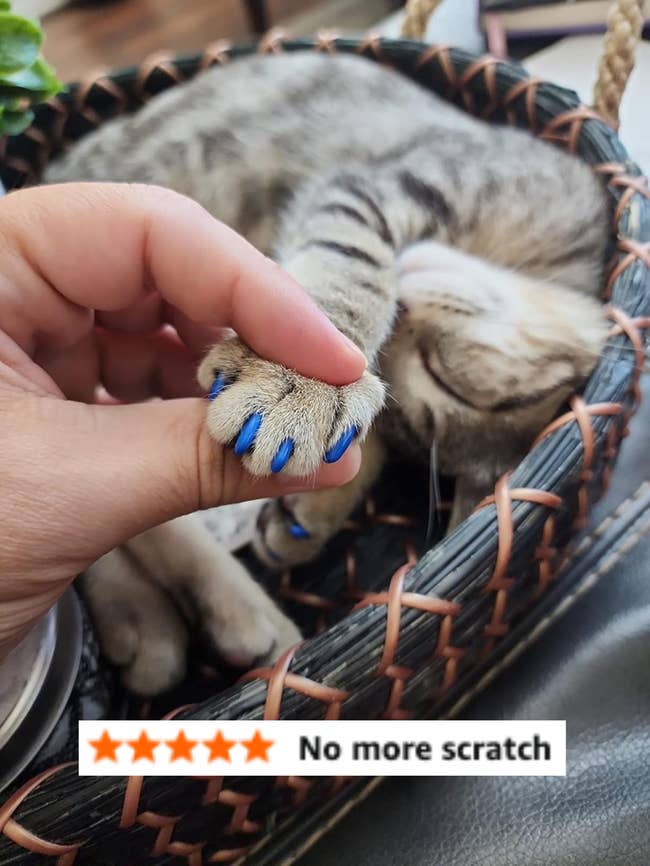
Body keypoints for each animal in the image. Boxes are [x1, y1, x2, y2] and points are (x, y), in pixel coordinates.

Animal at [44, 51, 610, 695]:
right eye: (446, 375)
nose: (404, 314)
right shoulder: (383, 186)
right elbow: (351, 267)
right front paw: (302, 382)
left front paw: (310, 514)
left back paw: (165, 620)